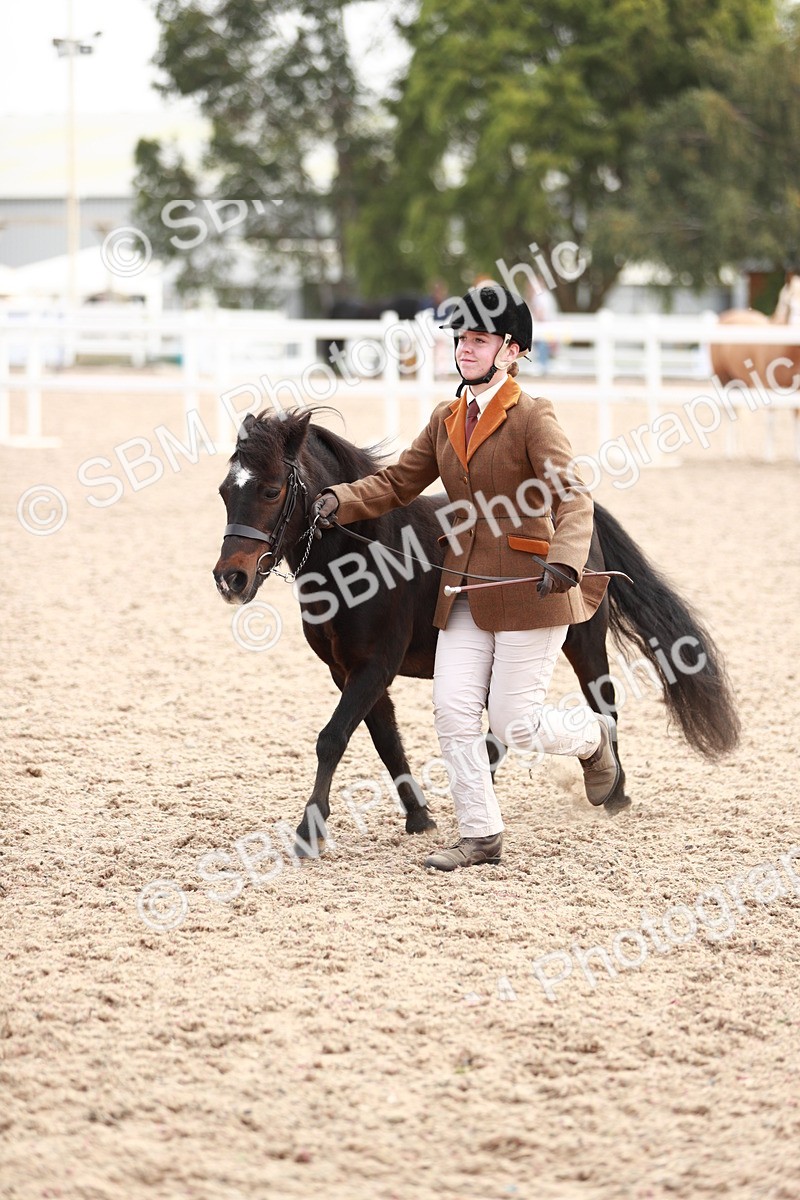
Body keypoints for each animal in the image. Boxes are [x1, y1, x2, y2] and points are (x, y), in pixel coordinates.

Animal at [212, 408, 740, 854]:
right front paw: (420, 817)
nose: (230, 578)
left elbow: (333, 737)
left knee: (600, 704)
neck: (363, 553)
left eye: (272, 490)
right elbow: (384, 740)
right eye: (224, 492)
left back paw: (613, 791)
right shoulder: (347, 670)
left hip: (581, 640)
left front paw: (310, 831)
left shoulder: (375, 665)